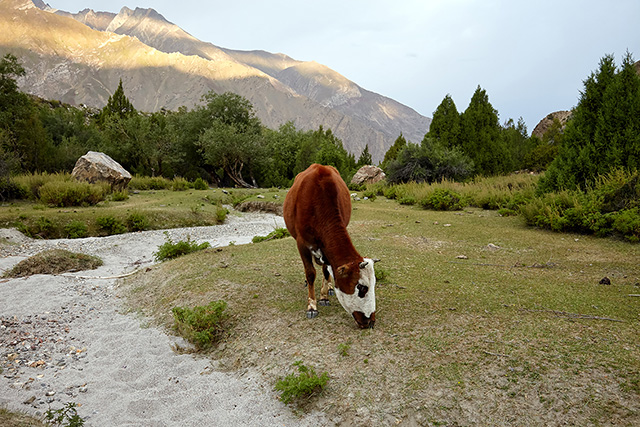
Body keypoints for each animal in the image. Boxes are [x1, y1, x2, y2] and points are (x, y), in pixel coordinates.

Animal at [282, 163, 378, 328]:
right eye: (361, 287)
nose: (370, 321)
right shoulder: (301, 243)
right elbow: (310, 272)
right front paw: (312, 306)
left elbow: (326, 270)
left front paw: (324, 296)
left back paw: (330, 287)